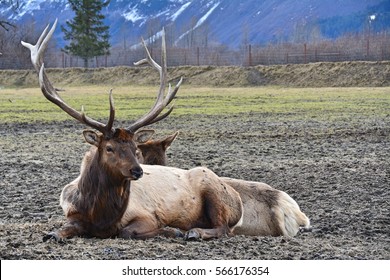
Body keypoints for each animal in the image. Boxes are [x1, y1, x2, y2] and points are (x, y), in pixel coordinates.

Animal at [22, 20, 244, 242]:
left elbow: (128, 231)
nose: (138, 170)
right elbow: (58, 231)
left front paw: (172, 230)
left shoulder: (147, 215)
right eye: (109, 148)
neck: (101, 217)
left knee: (224, 228)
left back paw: (194, 231)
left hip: (214, 191)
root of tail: (238, 200)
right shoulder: (73, 215)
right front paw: (53, 234)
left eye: (135, 147)